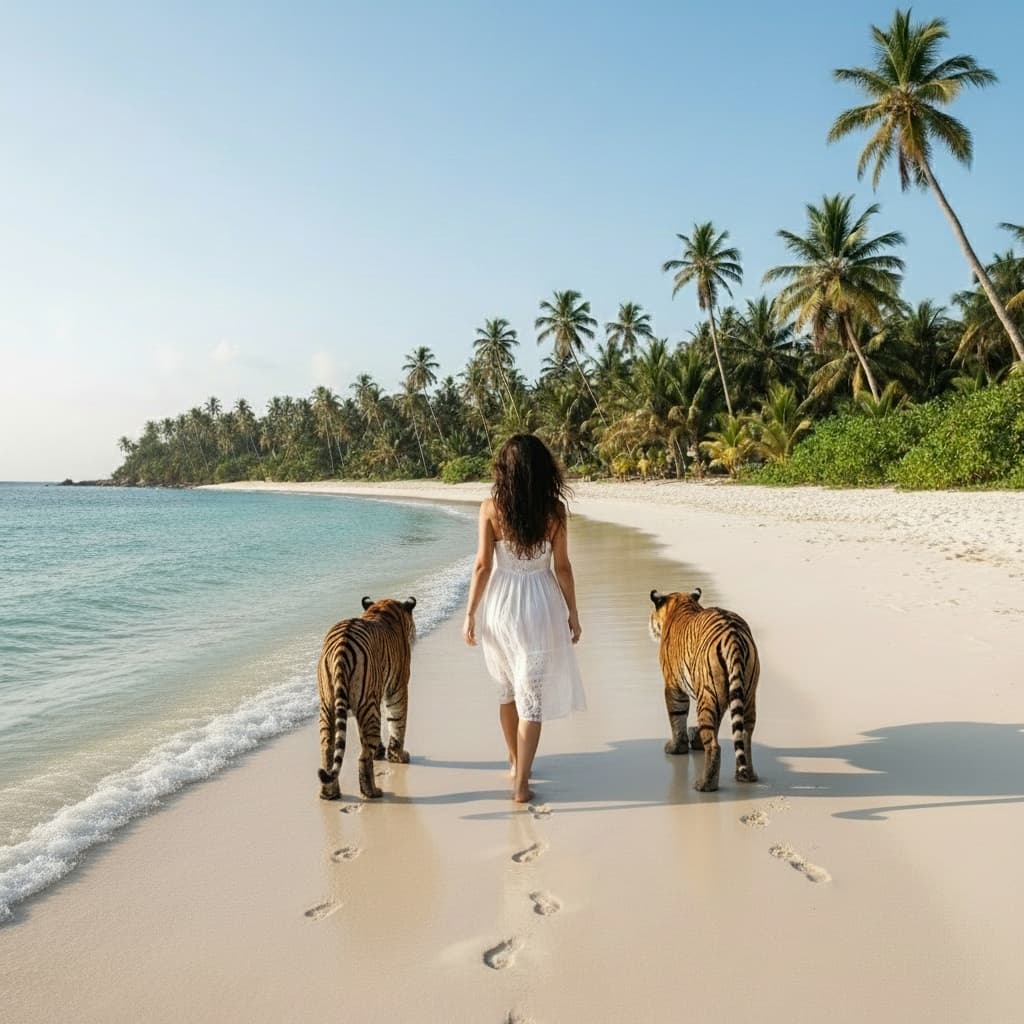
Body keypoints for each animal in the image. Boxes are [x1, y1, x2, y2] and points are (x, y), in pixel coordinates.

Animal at [317, 595, 417, 801]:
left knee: (328, 749)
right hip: (369, 708)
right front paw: (398, 757)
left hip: (327, 707)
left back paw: (329, 793)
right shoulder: (397, 689)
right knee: (363, 756)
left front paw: (380, 753)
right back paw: (372, 792)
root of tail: (342, 646)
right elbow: (398, 723)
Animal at [649, 587, 760, 792]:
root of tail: (733, 634)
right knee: (745, 736)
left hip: (706, 696)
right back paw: (747, 775)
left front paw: (676, 748)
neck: (681, 603)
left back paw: (705, 785)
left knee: (715, 746)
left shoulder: (673, 687)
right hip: (747, 695)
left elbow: (677, 719)